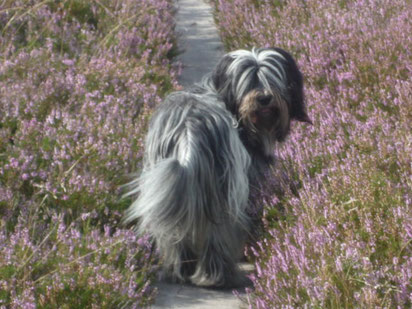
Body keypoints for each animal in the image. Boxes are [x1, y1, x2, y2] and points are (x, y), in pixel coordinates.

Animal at [124, 47, 310, 286]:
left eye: (272, 79)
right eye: (250, 81)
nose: (265, 98)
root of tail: (189, 128)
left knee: (176, 234)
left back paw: (179, 271)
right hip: (222, 193)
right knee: (217, 235)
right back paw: (218, 276)